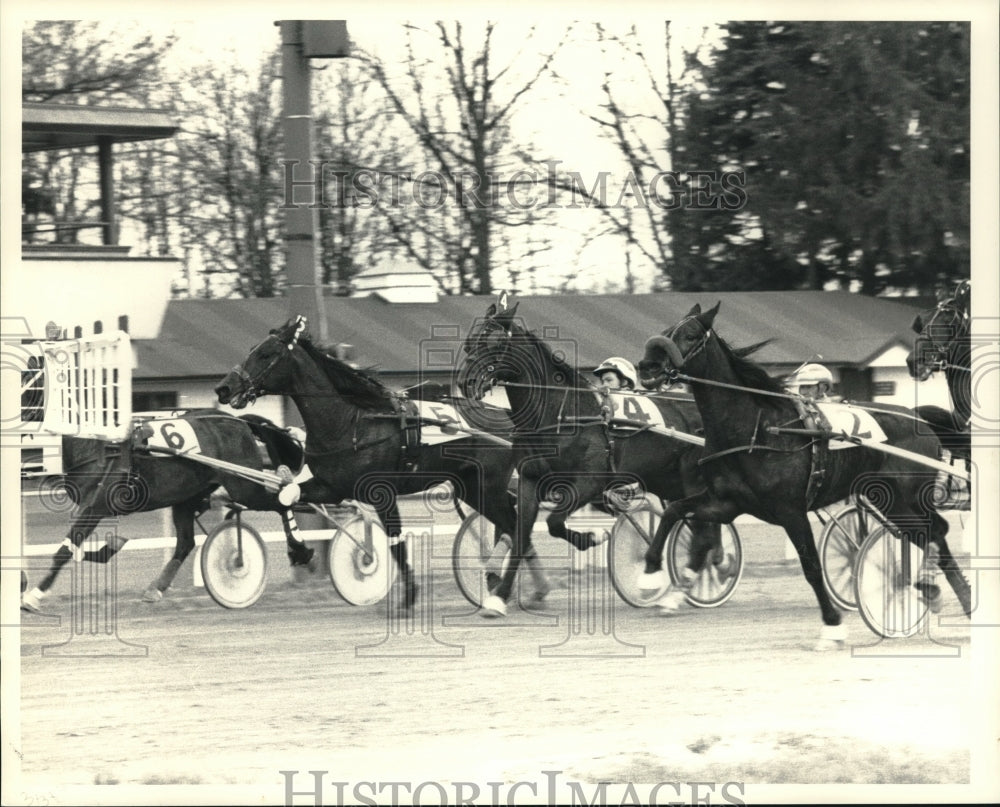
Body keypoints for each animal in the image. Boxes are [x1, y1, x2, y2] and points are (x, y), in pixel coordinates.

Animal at [21, 410, 316, 612]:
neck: (97, 443)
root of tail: (237, 420)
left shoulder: (96, 506)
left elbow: (64, 550)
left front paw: (33, 595)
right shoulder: (88, 507)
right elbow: (76, 547)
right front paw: (109, 547)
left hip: (244, 487)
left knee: (283, 501)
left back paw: (300, 549)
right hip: (187, 497)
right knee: (185, 542)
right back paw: (155, 589)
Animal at [214, 318, 528, 608]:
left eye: (265, 354)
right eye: (252, 349)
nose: (223, 388)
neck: (349, 424)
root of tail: (507, 418)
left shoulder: (382, 492)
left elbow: (395, 541)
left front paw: (408, 597)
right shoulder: (331, 488)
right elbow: (285, 496)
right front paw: (300, 552)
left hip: (488, 485)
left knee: (515, 527)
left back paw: (506, 585)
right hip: (471, 487)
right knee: (512, 523)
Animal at [458, 296, 736, 620]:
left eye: (496, 343)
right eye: (471, 342)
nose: (465, 382)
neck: (561, 414)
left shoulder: (589, 482)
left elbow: (554, 522)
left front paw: (593, 537)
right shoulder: (528, 481)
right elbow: (520, 535)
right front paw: (499, 597)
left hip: (692, 478)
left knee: (701, 532)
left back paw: (689, 578)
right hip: (669, 480)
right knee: (699, 524)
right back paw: (710, 566)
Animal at [636, 304, 972, 652]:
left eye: (690, 335)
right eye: (668, 330)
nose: (647, 366)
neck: (757, 427)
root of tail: (918, 419)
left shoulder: (791, 511)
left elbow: (811, 566)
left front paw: (832, 626)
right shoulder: (726, 503)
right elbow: (674, 510)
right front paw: (650, 574)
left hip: (905, 497)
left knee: (933, 531)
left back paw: (934, 586)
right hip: (888, 500)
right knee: (929, 534)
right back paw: (946, 593)